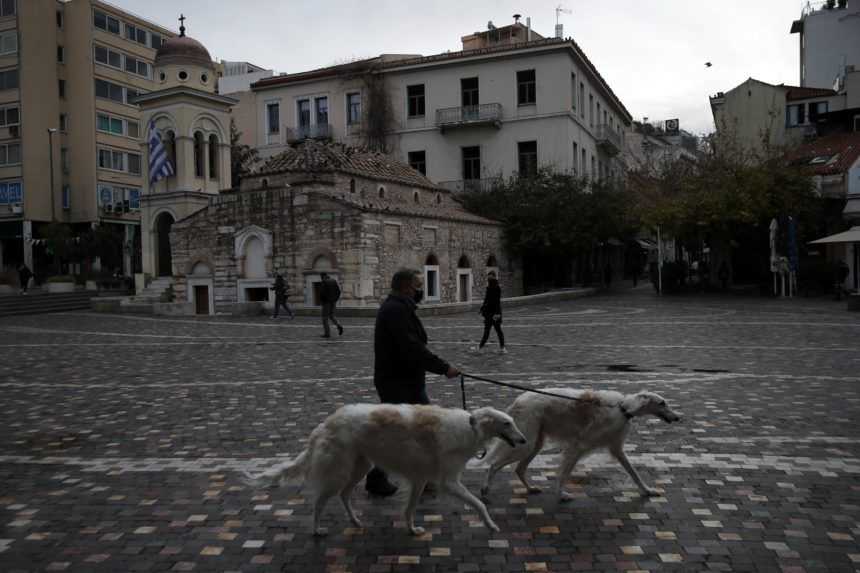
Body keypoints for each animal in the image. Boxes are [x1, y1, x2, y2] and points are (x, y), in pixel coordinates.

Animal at [484, 388, 680, 500]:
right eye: (662, 403)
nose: (678, 417)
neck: (622, 409)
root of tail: (518, 401)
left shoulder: (616, 448)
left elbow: (634, 472)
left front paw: (647, 491)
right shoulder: (578, 447)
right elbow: (563, 474)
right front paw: (561, 494)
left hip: (534, 443)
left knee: (519, 469)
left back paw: (530, 488)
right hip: (526, 443)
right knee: (494, 465)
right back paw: (485, 490)